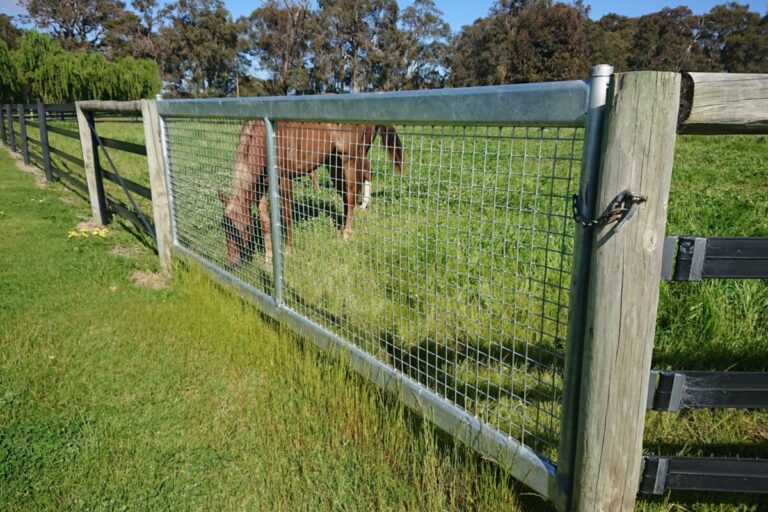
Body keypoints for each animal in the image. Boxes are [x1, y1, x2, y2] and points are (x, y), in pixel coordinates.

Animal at [219, 121, 405, 267]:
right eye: (225, 228)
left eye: (244, 227)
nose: (232, 263)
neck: (264, 140)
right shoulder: (260, 188)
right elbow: (265, 222)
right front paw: (268, 258)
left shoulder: (285, 181)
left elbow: (287, 217)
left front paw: (288, 251)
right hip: (334, 162)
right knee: (346, 195)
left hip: (351, 158)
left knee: (354, 191)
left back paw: (346, 233)